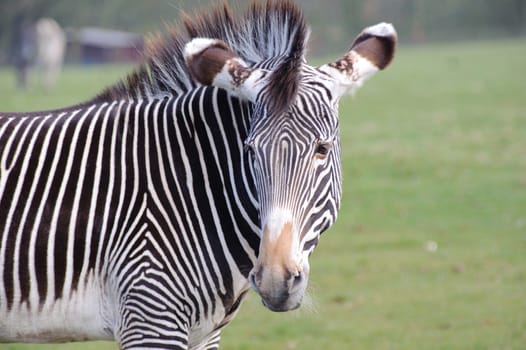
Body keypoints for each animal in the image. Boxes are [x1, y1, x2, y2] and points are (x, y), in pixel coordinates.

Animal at [0, 1, 396, 348]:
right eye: (249, 151)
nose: (275, 281)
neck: (189, 191)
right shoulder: (149, 318)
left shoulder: (203, 334)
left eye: (322, 150)